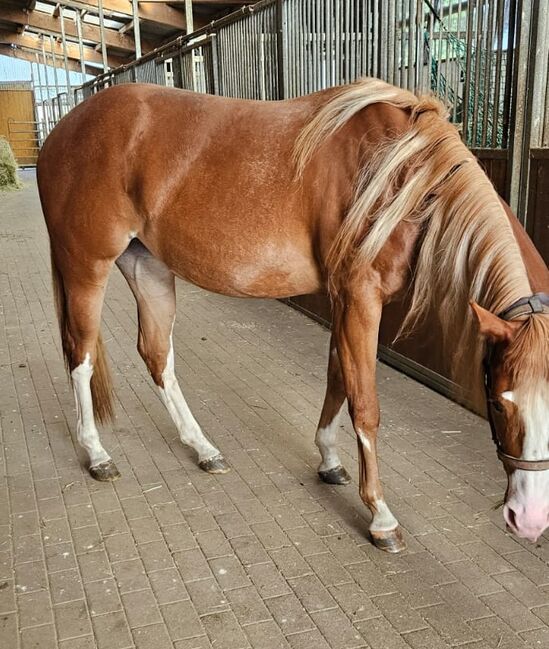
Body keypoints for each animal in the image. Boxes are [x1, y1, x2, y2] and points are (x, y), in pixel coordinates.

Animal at [36, 77, 548, 552]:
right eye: (498, 402)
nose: (529, 518)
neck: (401, 172)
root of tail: (63, 130)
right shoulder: (360, 297)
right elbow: (365, 405)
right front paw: (381, 516)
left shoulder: (345, 301)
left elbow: (338, 379)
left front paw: (329, 462)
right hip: (86, 267)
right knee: (80, 355)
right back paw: (97, 454)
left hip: (148, 267)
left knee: (157, 355)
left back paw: (203, 449)